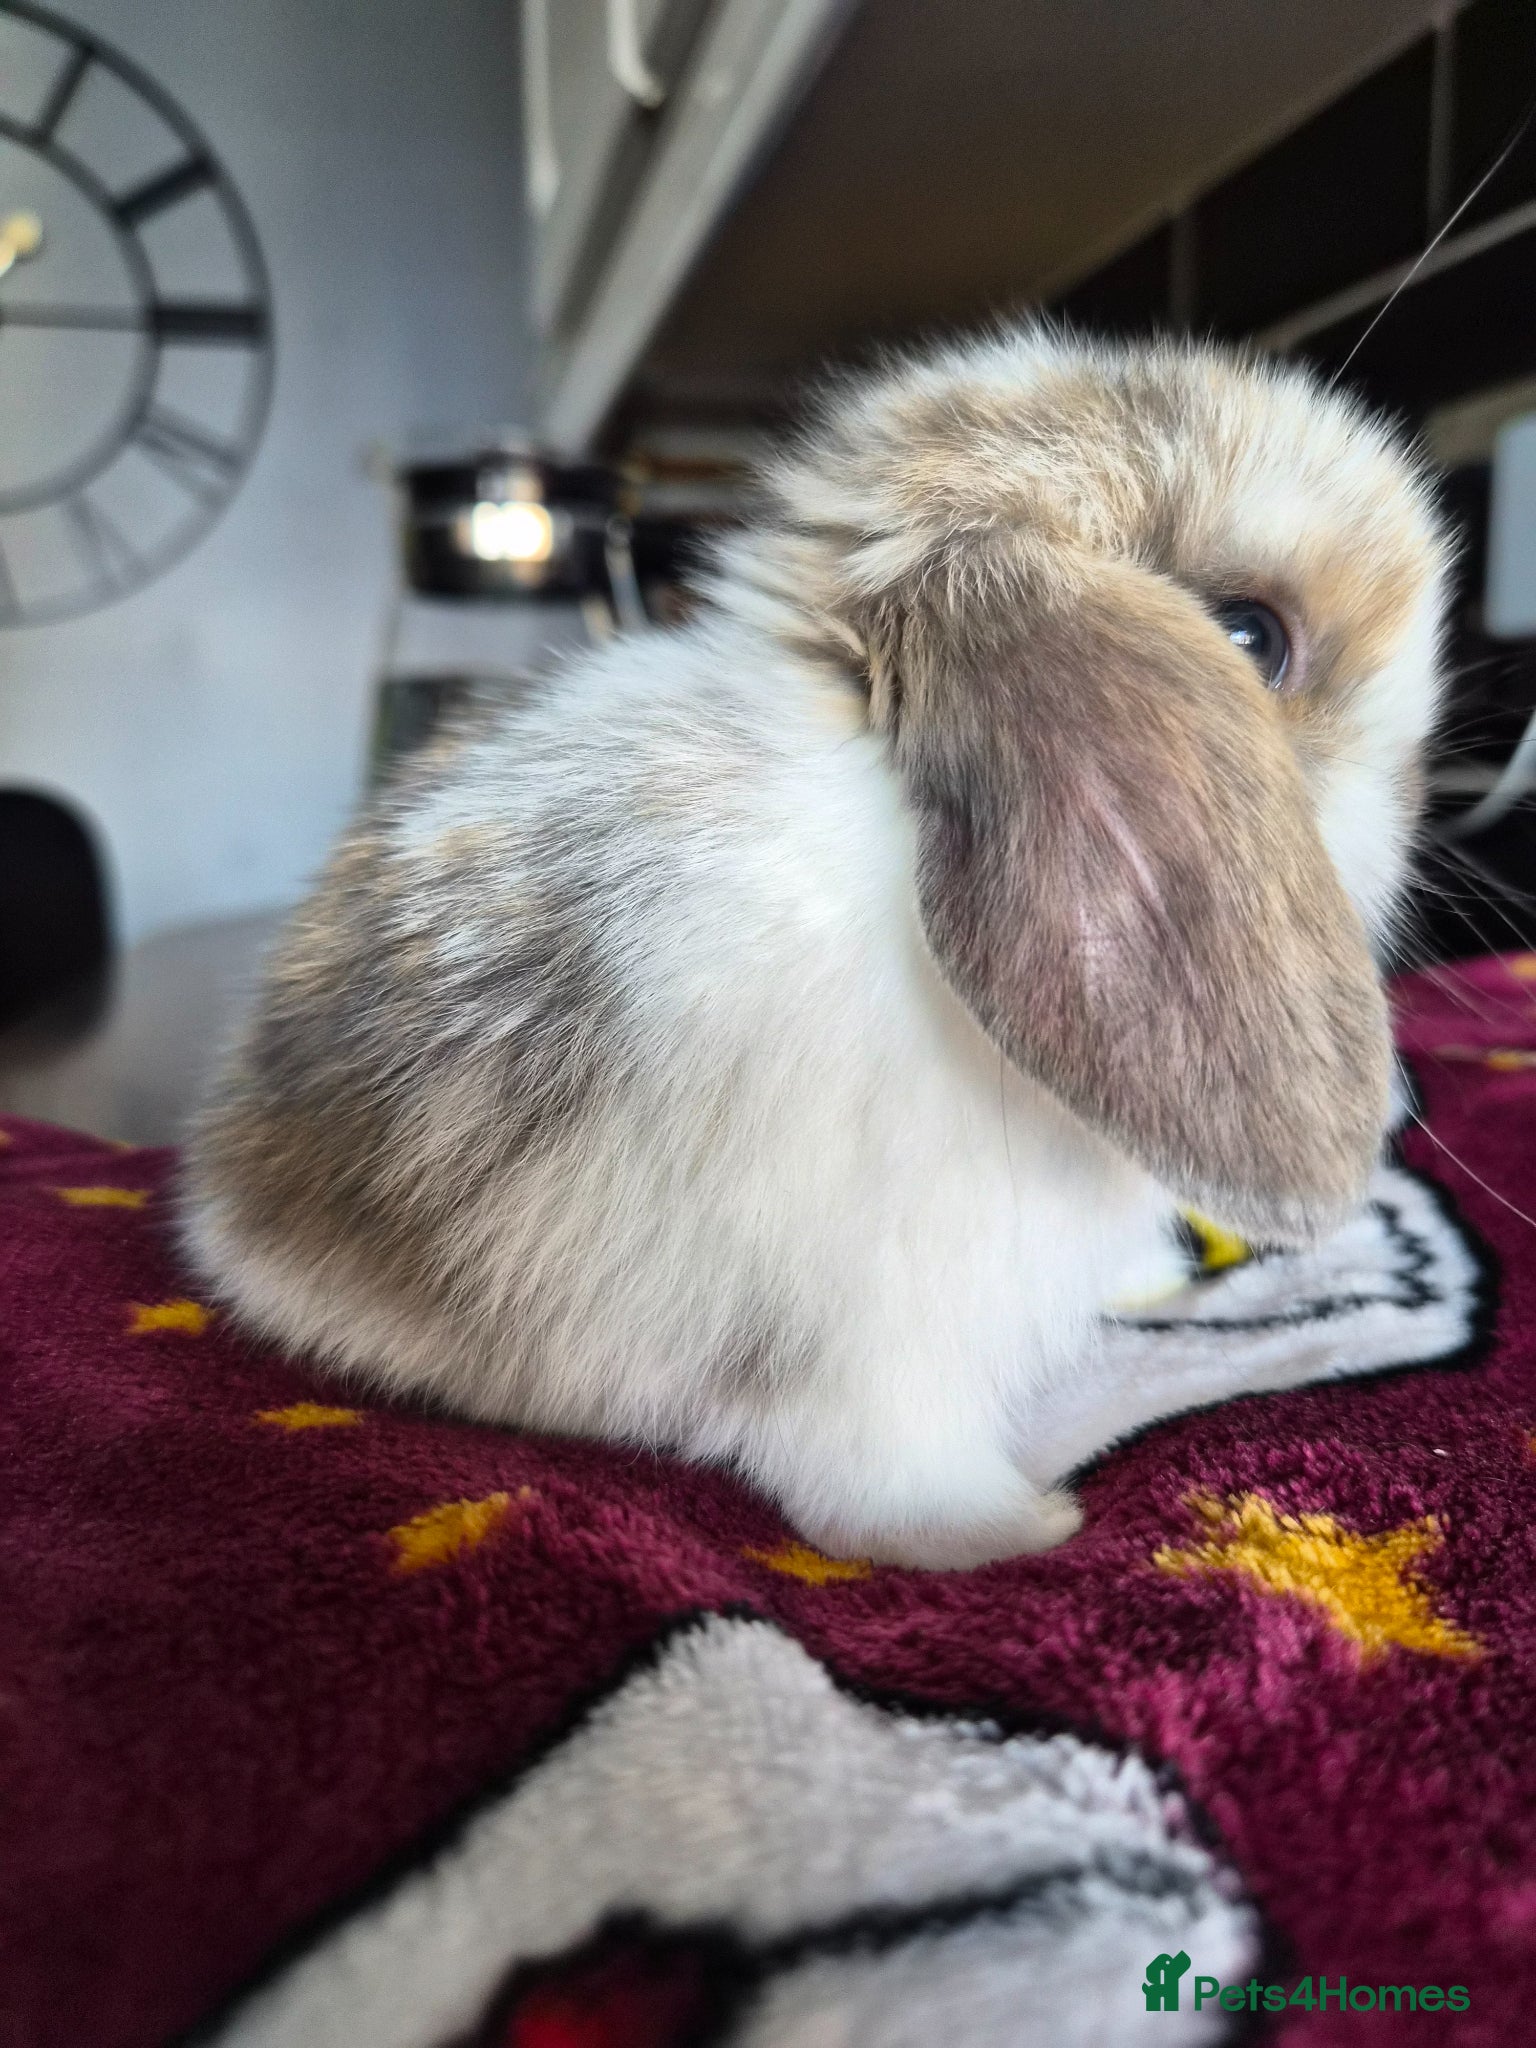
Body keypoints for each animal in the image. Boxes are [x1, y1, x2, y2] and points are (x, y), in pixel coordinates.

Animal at [182, 325, 1449, 1570]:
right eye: (1250, 637)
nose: (1417, 797)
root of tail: (220, 1188)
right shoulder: (867, 1339)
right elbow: (881, 1474)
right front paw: (1020, 1531)